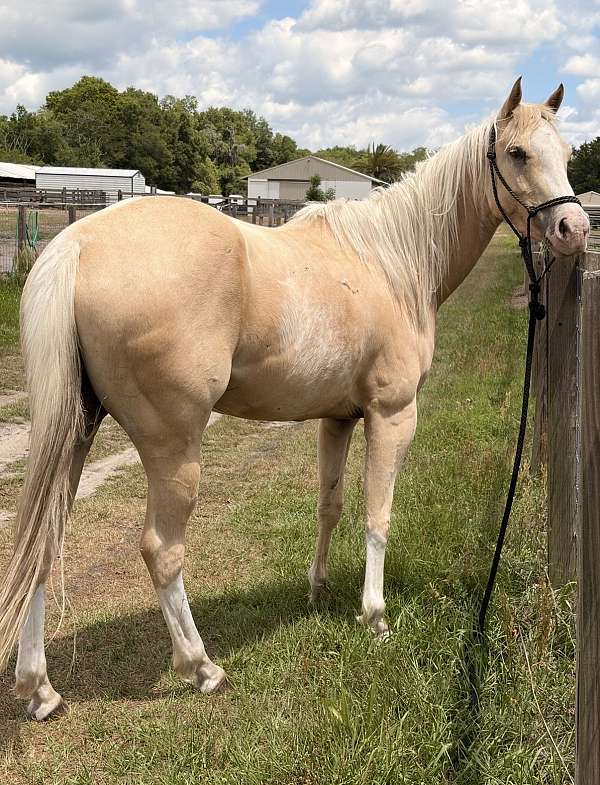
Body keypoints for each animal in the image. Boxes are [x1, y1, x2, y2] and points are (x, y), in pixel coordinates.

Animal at [0, 79, 588, 720]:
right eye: (516, 153)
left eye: (566, 153)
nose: (573, 229)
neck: (391, 262)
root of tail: (77, 243)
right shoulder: (392, 416)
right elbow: (378, 513)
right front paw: (374, 617)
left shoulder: (338, 420)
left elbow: (330, 506)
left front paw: (317, 588)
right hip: (173, 447)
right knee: (162, 551)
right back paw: (201, 668)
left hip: (76, 432)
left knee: (40, 545)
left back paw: (39, 690)